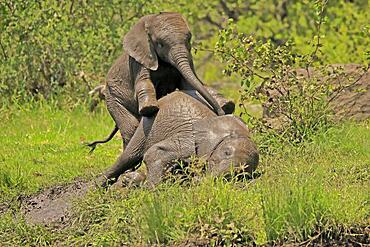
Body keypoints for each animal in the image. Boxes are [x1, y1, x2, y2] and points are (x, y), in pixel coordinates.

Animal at [99, 90, 258, 187]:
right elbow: (154, 153)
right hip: (147, 125)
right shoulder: (191, 139)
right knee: (128, 157)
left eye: (239, 174)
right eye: (226, 153)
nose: (200, 180)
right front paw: (148, 191)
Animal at [105, 12, 231, 147]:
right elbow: (143, 82)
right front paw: (149, 108)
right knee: (131, 128)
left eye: (189, 40)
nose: (221, 114)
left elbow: (190, 85)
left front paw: (227, 105)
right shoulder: (138, 61)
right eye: (160, 44)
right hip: (112, 98)